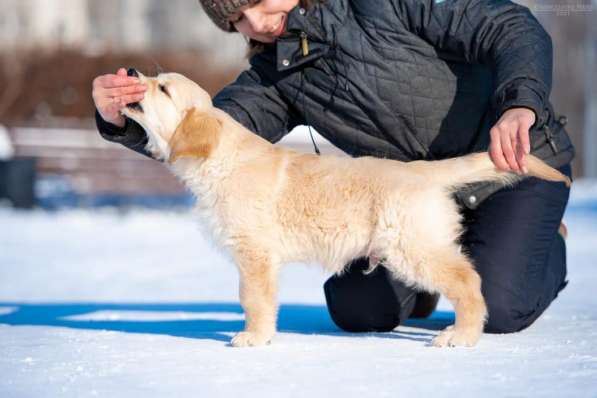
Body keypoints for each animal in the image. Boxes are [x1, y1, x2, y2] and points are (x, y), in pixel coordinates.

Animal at [118, 71, 572, 348]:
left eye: (163, 89)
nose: (130, 74)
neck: (219, 157)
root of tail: (424, 172)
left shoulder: (254, 253)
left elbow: (253, 298)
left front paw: (254, 337)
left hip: (412, 245)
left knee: (468, 280)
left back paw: (461, 334)